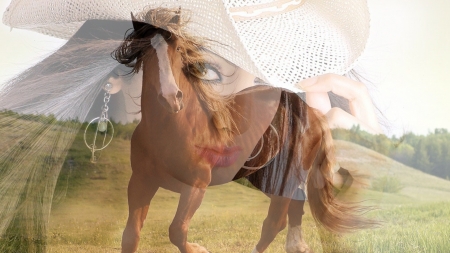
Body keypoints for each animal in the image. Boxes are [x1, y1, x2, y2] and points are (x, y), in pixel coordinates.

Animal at [114, 8, 374, 253]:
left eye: (178, 49)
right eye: (144, 52)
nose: (171, 98)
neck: (176, 128)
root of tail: (314, 114)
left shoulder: (196, 185)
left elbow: (177, 230)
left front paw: (200, 248)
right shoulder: (141, 182)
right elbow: (130, 237)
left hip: (285, 177)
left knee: (275, 221)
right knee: (293, 209)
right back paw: (298, 246)